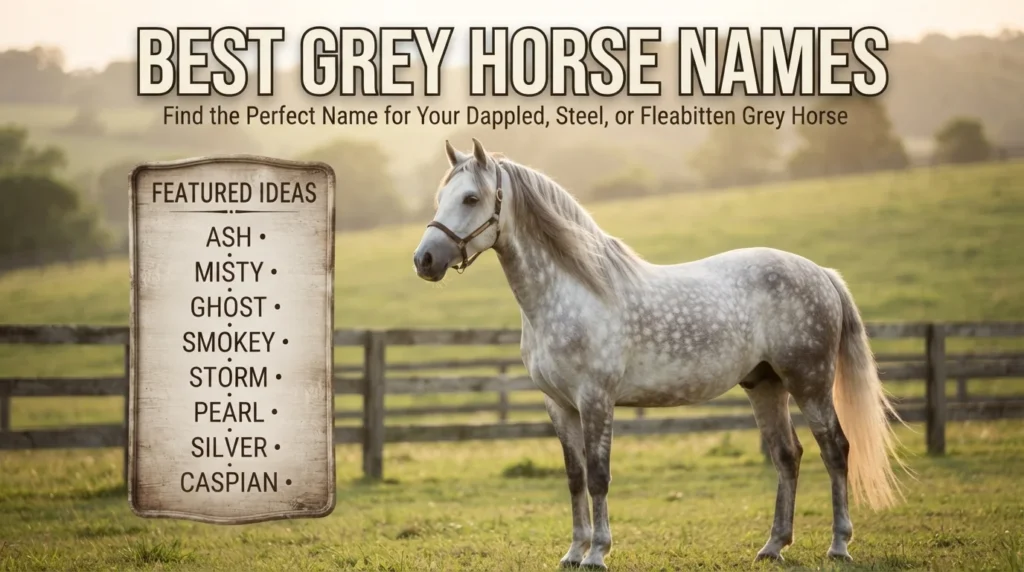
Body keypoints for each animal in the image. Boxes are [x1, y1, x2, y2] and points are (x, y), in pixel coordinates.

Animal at [412, 138, 904, 569]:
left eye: (471, 198)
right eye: (441, 197)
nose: (424, 260)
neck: (574, 289)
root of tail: (820, 272)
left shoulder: (596, 400)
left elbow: (598, 475)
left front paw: (597, 553)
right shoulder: (559, 406)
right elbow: (574, 477)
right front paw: (573, 552)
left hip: (810, 382)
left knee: (836, 449)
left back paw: (838, 546)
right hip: (765, 384)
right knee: (788, 455)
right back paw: (772, 547)